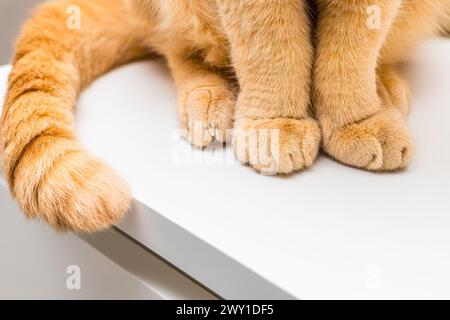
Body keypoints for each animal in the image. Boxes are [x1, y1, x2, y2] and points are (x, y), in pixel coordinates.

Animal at [0, 0, 448, 232]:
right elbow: (274, 45)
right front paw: (274, 126)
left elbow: (350, 52)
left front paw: (358, 121)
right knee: (178, 48)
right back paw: (210, 98)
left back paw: (385, 86)